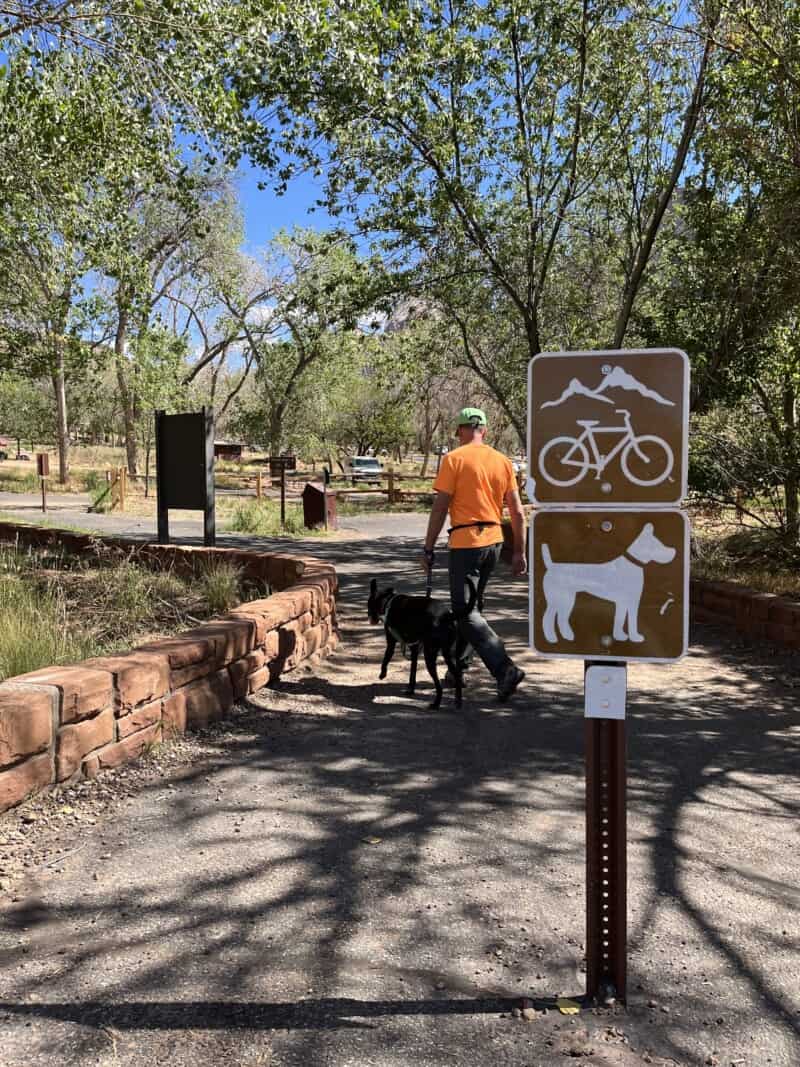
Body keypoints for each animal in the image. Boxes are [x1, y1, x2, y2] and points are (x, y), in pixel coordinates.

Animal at [369, 576, 475, 708]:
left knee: (438, 685)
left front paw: (382, 674)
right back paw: (458, 701)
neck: (388, 601)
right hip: (446, 653)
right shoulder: (414, 648)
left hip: (429, 654)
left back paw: (436, 704)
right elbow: (412, 672)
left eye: (368, 604)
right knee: (456, 674)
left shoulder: (391, 643)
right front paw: (411, 689)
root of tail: (446, 615)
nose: (369, 617)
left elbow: (386, 659)